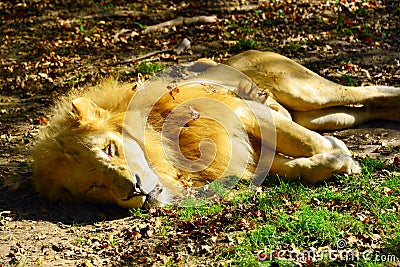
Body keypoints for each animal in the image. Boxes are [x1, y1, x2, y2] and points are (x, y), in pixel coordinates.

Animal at [32, 50, 400, 209]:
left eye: (110, 149)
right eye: (94, 186)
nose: (133, 190)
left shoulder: (247, 111)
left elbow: (310, 144)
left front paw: (345, 158)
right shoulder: (242, 154)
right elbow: (299, 166)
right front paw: (333, 161)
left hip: (304, 91)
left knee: (366, 91)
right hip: (321, 114)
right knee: (361, 110)